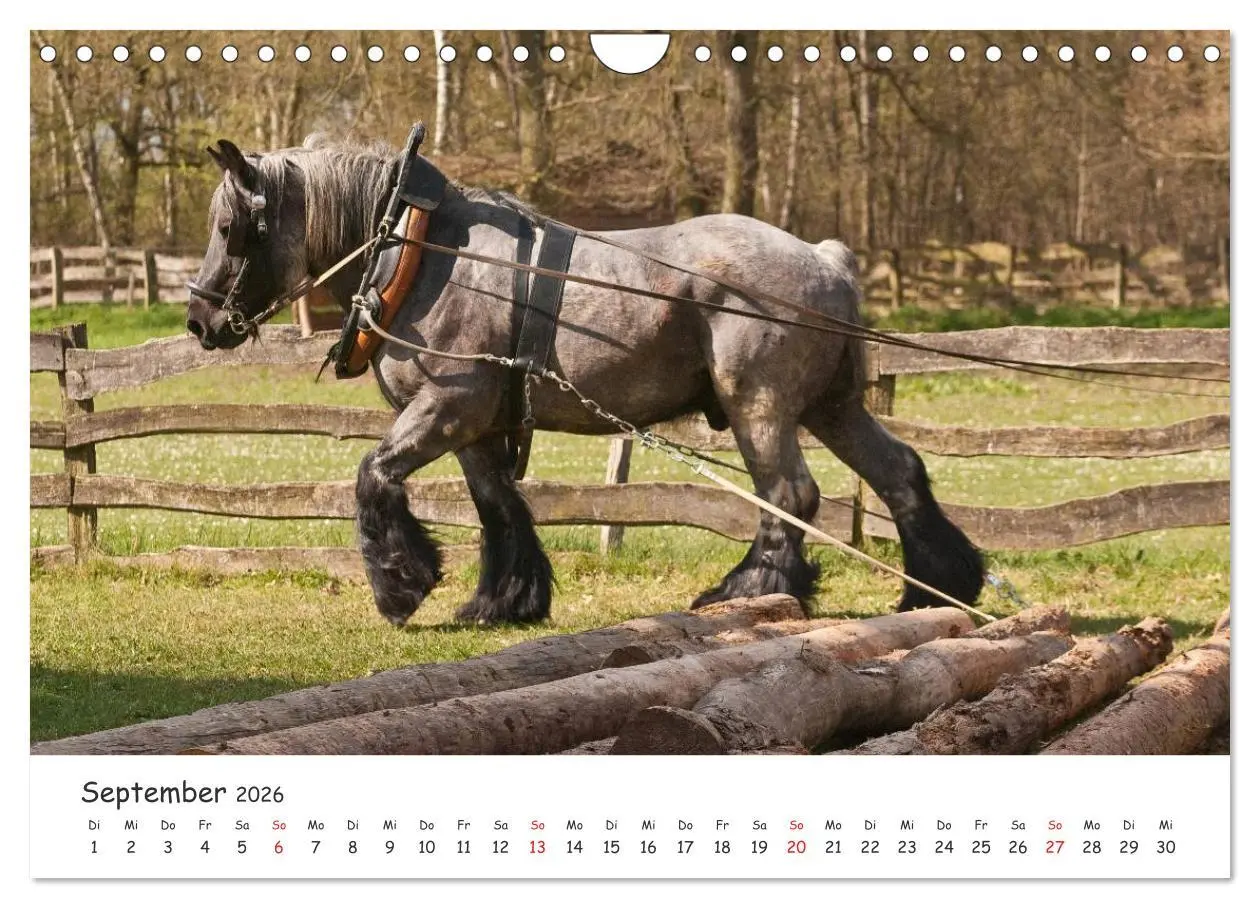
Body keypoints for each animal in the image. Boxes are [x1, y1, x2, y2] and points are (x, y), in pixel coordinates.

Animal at [186, 136, 985, 627]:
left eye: (230, 230)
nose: (199, 318)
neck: (418, 251)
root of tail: (825, 258)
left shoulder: (448, 405)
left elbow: (373, 476)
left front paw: (400, 585)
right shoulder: (475, 424)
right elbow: (498, 508)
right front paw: (504, 600)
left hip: (758, 405)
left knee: (788, 495)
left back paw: (747, 592)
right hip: (831, 406)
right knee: (900, 472)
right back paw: (938, 588)